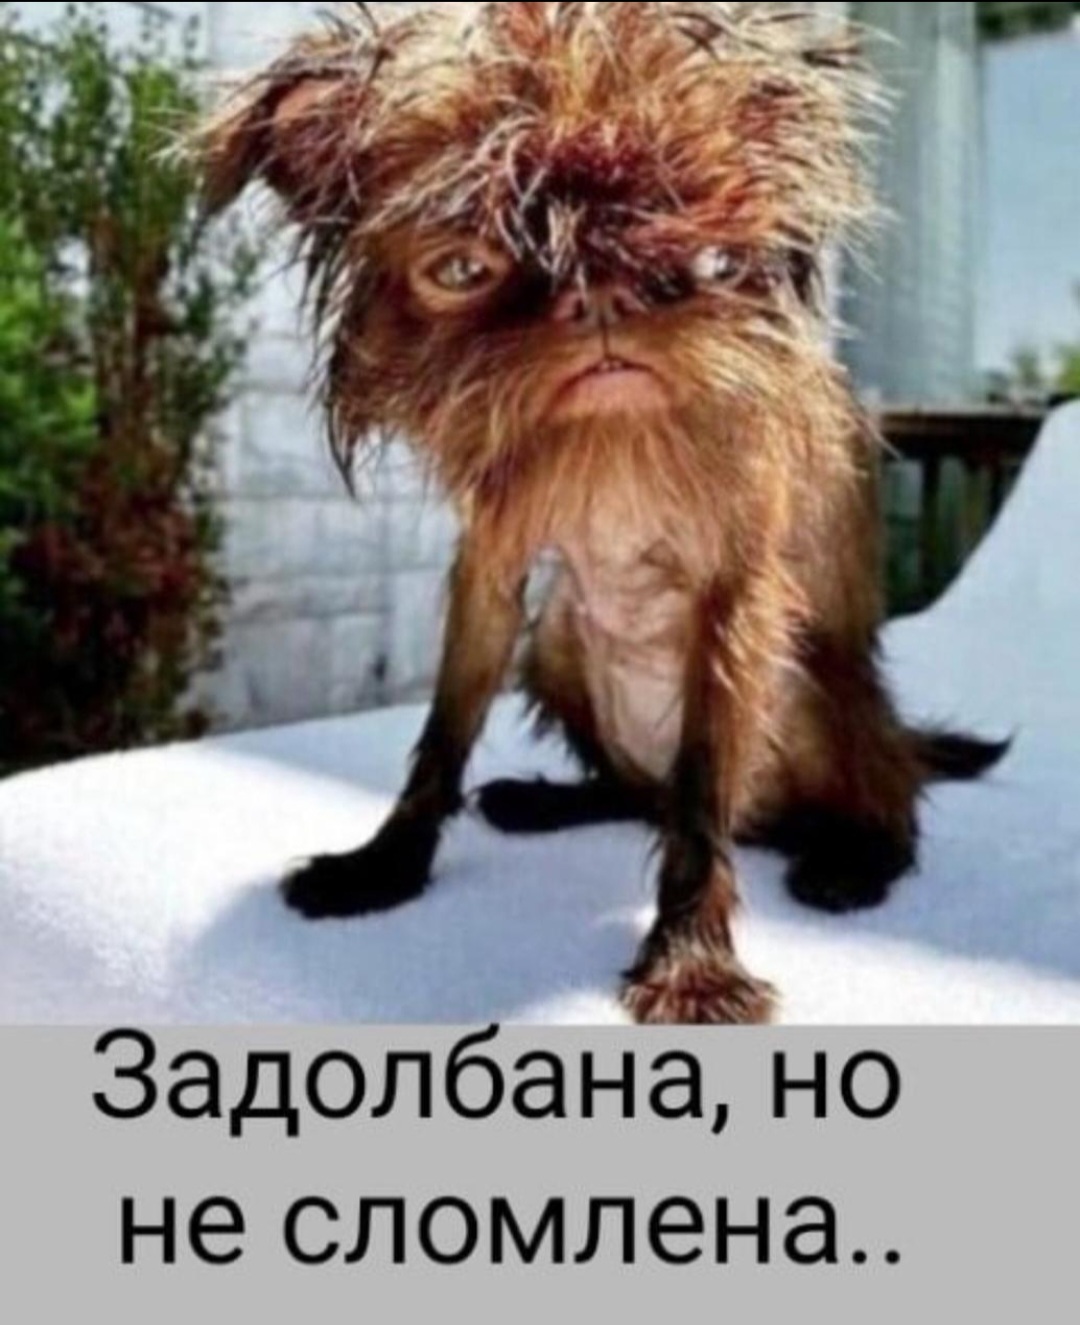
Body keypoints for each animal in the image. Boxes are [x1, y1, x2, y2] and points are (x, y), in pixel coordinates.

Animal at [200, 1, 1006, 1023]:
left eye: (709, 253)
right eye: (462, 268)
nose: (600, 292)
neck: (614, 439)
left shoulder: (737, 606)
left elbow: (701, 799)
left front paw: (691, 962)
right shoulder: (493, 576)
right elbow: (441, 740)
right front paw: (384, 865)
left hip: (823, 688)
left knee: (878, 797)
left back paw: (855, 859)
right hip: (558, 643)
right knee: (638, 791)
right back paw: (549, 802)